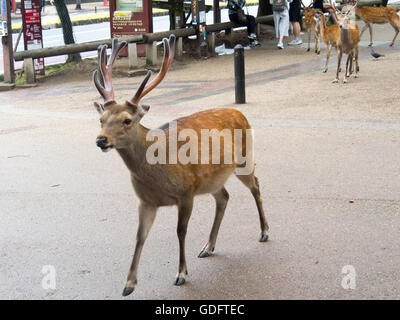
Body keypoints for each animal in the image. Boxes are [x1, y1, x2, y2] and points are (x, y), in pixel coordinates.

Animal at [92, 35, 270, 298]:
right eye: (101, 119)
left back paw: (264, 232)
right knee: (224, 197)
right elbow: (139, 236)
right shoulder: (146, 201)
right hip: (211, 179)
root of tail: (239, 111)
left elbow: (180, 231)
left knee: (256, 186)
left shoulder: (186, 192)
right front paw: (129, 283)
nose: (101, 140)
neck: (157, 173)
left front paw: (181, 273)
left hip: (244, 158)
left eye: (127, 120)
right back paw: (208, 246)